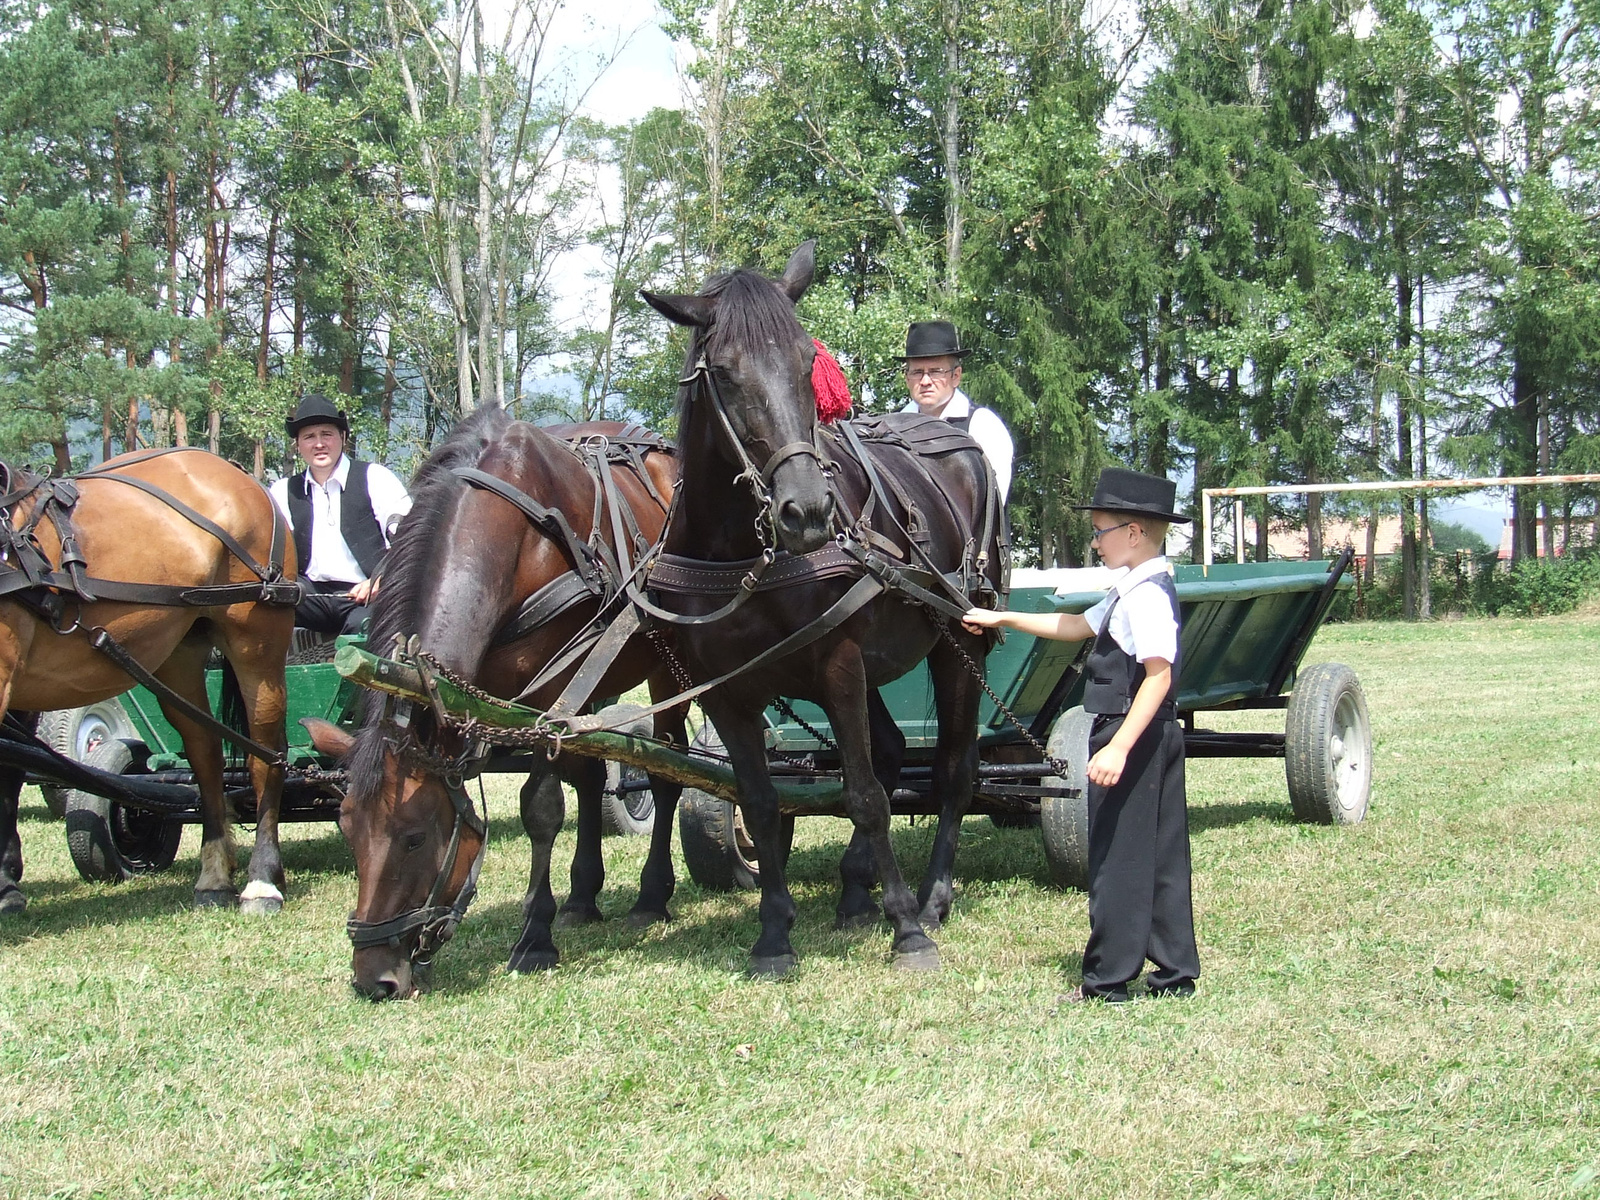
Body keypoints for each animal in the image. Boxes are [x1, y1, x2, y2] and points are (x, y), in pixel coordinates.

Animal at [1, 448, 296, 908]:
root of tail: (237, 474)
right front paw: (7, 884)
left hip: (258, 642)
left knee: (266, 753)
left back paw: (262, 880)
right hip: (179, 654)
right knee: (205, 752)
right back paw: (214, 877)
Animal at [305, 409, 688, 998]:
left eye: (414, 838)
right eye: (347, 829)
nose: (375, 979)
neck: (506, 533)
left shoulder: (551, 689)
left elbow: (541, 807)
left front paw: (535, 937)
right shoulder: (474, 691)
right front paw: (562, 907)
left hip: (666, 668)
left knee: (667, 771)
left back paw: (651, 895)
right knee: (592, 775)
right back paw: (583, 896)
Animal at [636, 241, 998, 979]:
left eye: (807, 362)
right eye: (725, 372)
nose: (805, 510)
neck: (741, 552)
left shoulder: (838, 663)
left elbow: (864, 796)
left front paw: (907, 930)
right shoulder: (728, 690)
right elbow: (760, 801)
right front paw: (775, 933)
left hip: (960, 643)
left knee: (951, 773)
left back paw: (929, 899)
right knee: (892, 754)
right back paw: (856, 892)